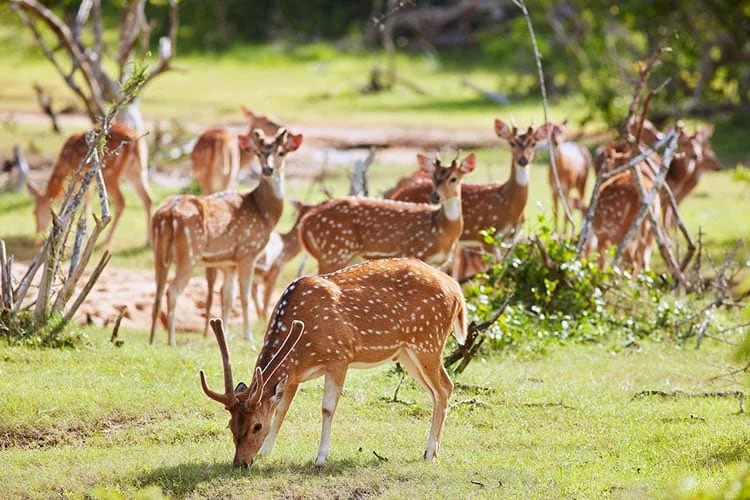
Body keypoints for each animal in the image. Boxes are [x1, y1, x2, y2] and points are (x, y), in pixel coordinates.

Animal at [150, 127, 303, 346]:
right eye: (259, 153)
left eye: (281, 152)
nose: (268, 170)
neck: (264, 212)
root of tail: (167, 215)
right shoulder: (248, 252)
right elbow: (244, 296)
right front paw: (248, 337)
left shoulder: (229, 262)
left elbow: (228, 298)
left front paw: (226, 334)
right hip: (189, 254)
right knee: (172, 291)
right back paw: (172, 340)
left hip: (159, 252)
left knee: (158, 290)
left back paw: (152, 339)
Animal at [199, 257, 467, 467]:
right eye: (230, 425)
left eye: (256, 426)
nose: (240, 463)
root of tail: (457, 291)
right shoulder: (294, 375)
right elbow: (283, 408)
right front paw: (266, 452)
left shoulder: (339, 355)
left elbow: (327, 408)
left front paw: (320, 458)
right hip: (407, 353)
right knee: (437, 391)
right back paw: (431, 450)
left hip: (428, 342)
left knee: (445, 387)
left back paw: (430, 454)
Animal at [299, 153, 476, 275]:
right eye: (433, 177)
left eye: (454, 178)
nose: (435, 196)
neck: (442, 232)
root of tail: (303, 225)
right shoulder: (416, 251)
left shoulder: (439, 262)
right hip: (333, 252)